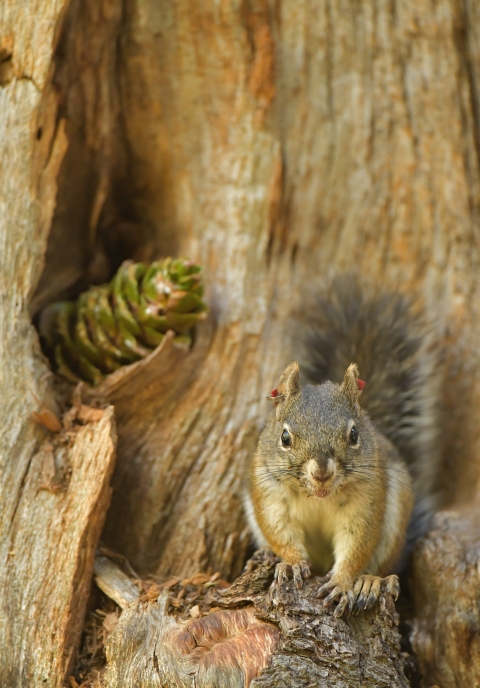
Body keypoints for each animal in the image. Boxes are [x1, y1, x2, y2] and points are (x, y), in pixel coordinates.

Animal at [244, 276, 438, 616]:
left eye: (354, 435)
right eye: (285, 438)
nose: (321, 472)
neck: (318, 497)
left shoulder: (366, 500)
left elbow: (357, 544)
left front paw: (343, 581)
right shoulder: (270, 493)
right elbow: (279, 530)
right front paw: (292, 562)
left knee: (379, 564)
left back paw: (370, 582)